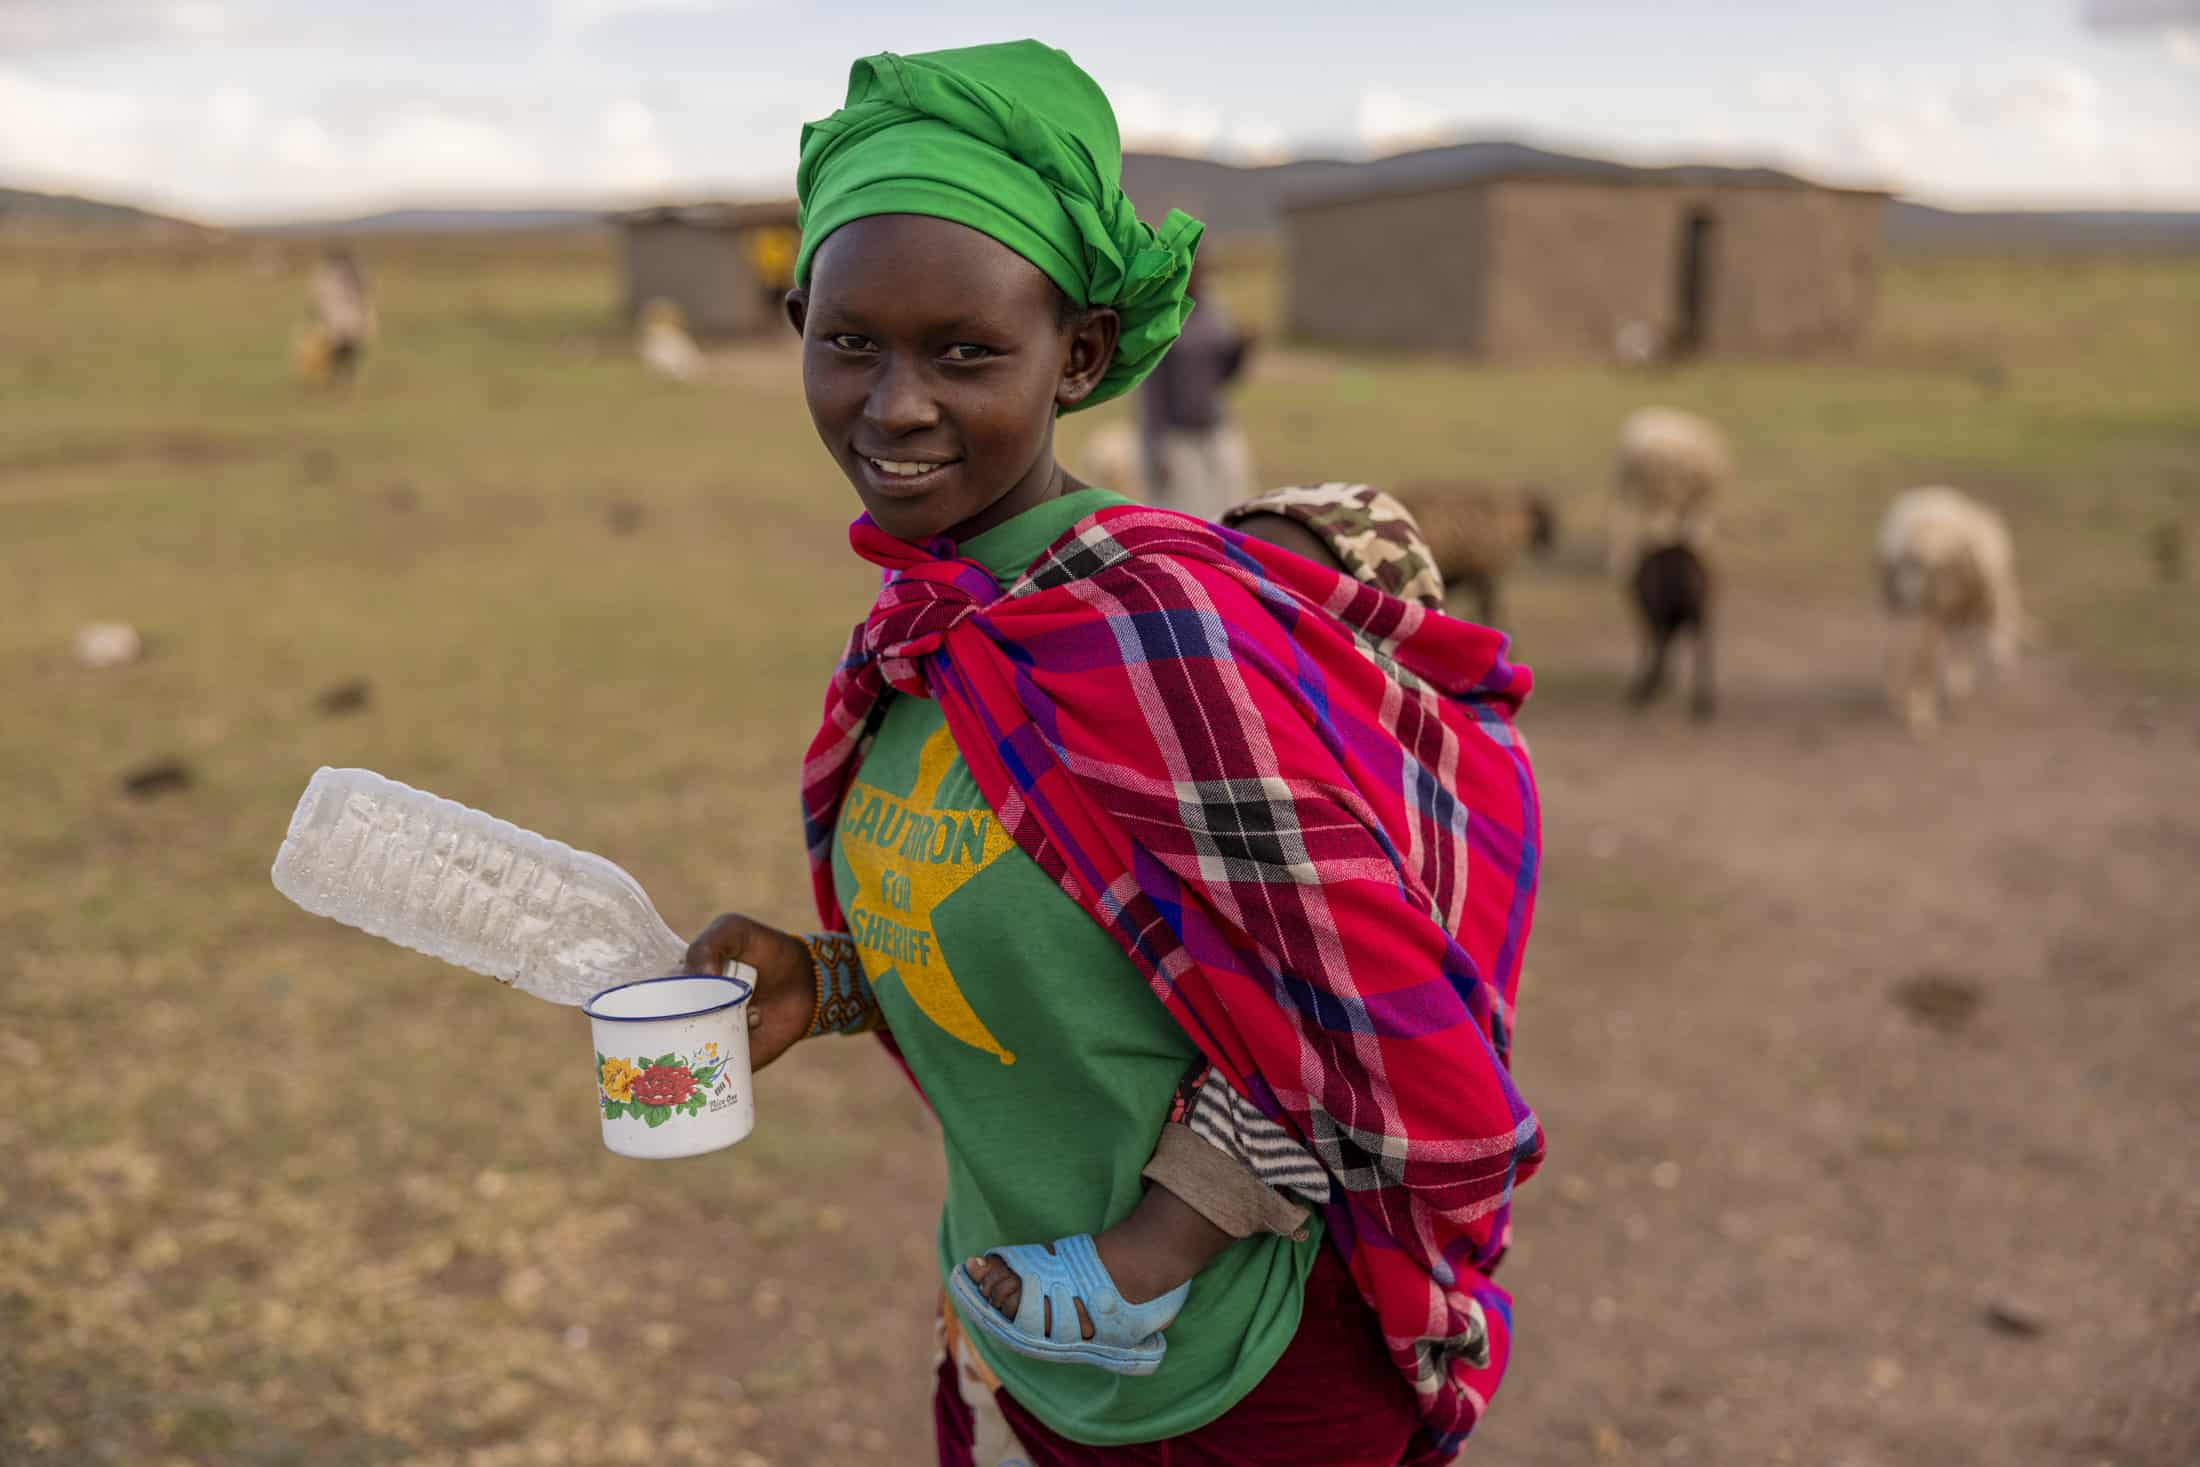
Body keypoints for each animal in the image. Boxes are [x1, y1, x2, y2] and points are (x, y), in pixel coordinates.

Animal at [1619, 543, 1716, 721]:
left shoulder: (1652, 612)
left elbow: (1651, 644)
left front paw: (1645, 687)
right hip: (1702, 613)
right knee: (1704, 646)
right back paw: (1704, 703)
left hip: (1666, 612)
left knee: (1663, 643)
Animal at [1874, 483, 2024, 734]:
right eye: (1907, 563)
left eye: (1921, 567)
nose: (1904, 596)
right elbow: (1947, 650)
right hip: (1920, 606)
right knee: (1917, 652)